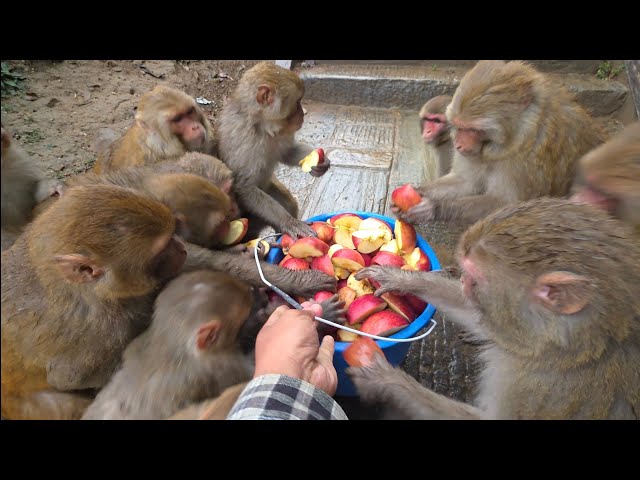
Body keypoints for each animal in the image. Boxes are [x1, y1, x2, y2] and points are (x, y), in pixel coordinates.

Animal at [216, 61, 331, 240]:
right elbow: (245, 187)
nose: (302, 114)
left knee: (289, 203)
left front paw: (320, 164)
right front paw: (289, 222)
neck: (263, 128)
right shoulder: (243, 141)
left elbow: (287, 152)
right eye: (297, 102)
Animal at [348, 198, 640, 419]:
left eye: (475, 277)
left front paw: (383, 379)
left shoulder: (539, 386)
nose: (463, 282)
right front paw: (398, 278)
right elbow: (478, 316)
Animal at [394, 61, 607, 227]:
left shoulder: (526, 157)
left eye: (473, 129)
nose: (458, 146)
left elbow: (508, 203)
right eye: (459, 127)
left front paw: (434, 208)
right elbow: (466, 181)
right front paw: (419, 192)